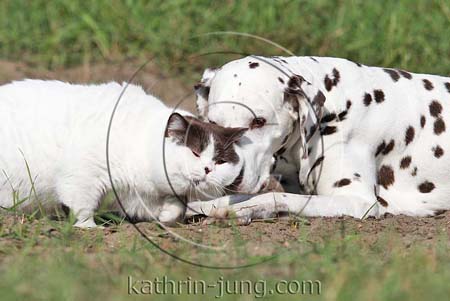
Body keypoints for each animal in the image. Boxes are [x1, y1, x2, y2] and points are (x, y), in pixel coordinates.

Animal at [184, 55, 450, 223]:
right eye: (214, 123)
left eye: (259, 121)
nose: (230, 178)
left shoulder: (357, 201)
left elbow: (274, 195)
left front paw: (240, 211)